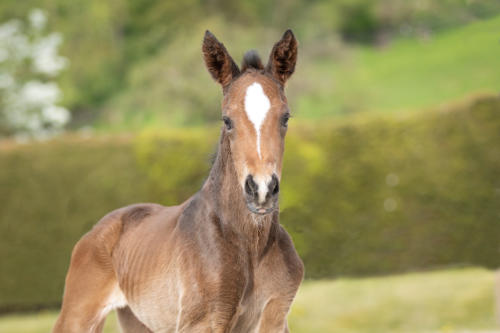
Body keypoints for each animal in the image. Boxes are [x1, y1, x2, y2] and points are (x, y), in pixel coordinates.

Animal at [54, 29, 304, 330]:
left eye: (286, 117)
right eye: (227, 120)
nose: (262, 190)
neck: (249, 245)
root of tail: (96, 231)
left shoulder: (274, 318)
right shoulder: (202, 323)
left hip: (138, 321)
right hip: (77, 316)